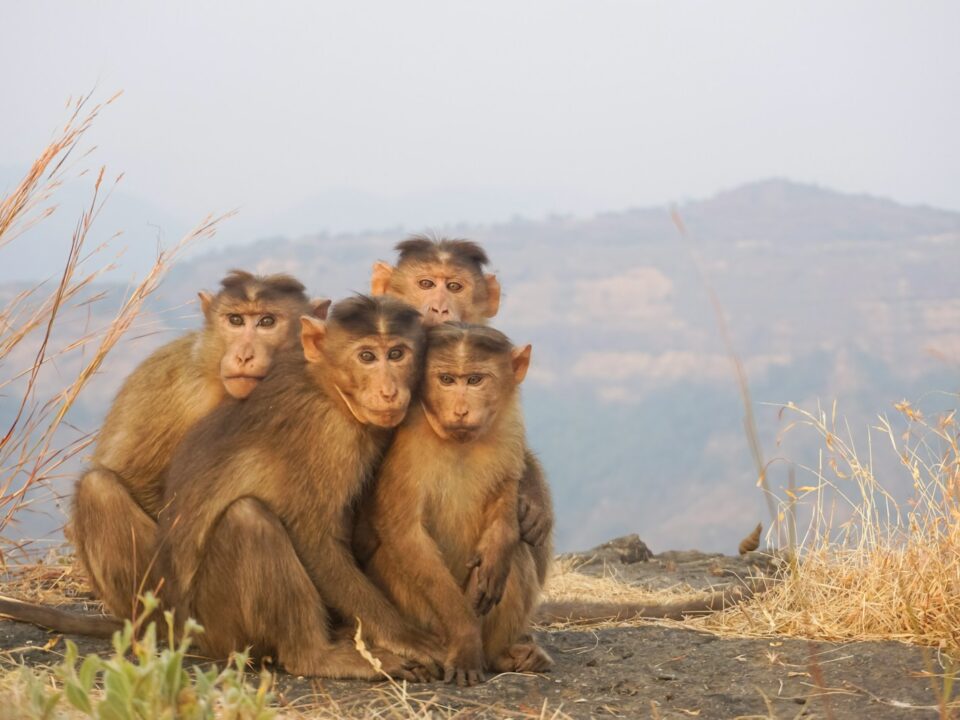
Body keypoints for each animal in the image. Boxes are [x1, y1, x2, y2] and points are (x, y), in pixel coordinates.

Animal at [68, 270, 330, 622]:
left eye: (267, 321)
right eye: (235, 320)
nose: (243, 355)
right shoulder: (179, 388)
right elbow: (133, 477)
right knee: (97, 489)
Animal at [153, 295, 442, 680]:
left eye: (397, 354)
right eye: (367, 356)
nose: (389, 390)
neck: (328, 389)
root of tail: (182, 630)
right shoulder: (326, 435)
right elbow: (314, 539)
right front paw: (403, 636)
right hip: (219, 628)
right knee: (249, 519)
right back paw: (316, 656)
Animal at [363, 322, 552, 686]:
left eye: (475, 380)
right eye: (447, 379)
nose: (461, 410)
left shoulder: (509, 425)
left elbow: (507, 490)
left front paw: (498, 545)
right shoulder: (408, 443)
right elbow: (404, 532)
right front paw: (466, 638)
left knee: (518, 554)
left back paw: (502, 655)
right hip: (427, 621)